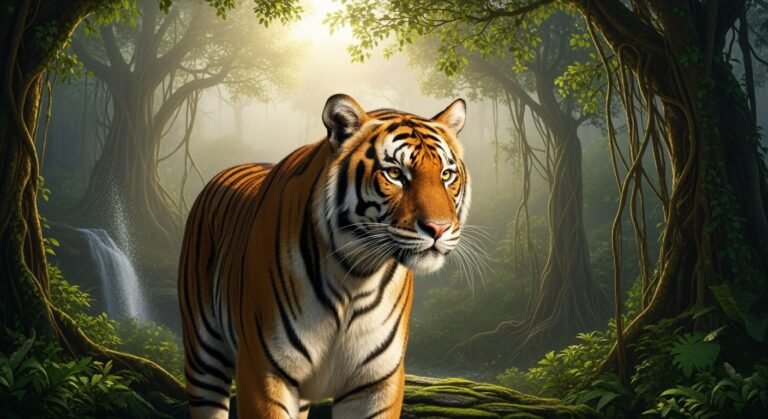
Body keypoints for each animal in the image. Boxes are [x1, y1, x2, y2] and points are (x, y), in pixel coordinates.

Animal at [178, 93, 470, 419]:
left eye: (446, 175)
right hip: (204, 359)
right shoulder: (262, 370)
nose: (439, 228)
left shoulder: (375, 383)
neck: (356, 277)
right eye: (395, 174)